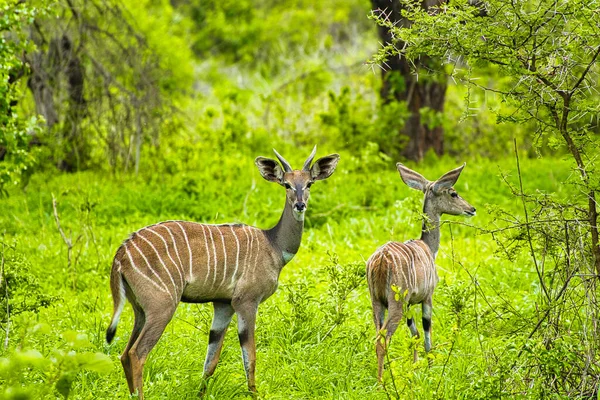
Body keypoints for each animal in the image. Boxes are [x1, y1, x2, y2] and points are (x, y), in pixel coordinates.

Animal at [106, 146, 338, 396]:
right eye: (286, 184)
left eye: (309, 183)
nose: (300, 205)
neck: (273, 244)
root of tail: (122, 252)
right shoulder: (246, 301)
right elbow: (250, 356)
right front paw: (255, 394)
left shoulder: (223, 304)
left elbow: (211, 359)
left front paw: (200, 394)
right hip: (162, 306)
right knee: (136, 354)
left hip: (140, 309)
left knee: (124, 354)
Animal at [366, 163, 478, 382]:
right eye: (453, 193)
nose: (471, 209)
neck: (429, 247)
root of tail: (381, 260)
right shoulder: (427, 297)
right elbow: (427, 335)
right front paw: (430, 370)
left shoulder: (410, 302)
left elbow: (414, 334)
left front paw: (415, 368)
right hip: (396, 302)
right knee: (383, 339)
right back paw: (382, 383)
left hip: (377, 301)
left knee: (378, 335)